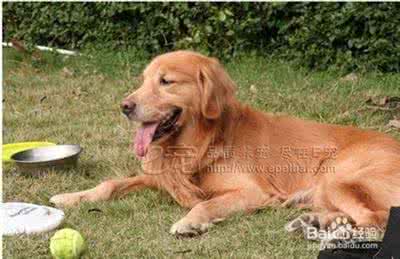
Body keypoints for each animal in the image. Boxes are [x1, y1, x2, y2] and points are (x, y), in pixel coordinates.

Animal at [50, 50, 400, 238]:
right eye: (144, 80)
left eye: (166, 81)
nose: (125, 106)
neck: (204, 142)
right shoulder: (162, 176)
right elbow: (110, 184)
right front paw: (70, 197)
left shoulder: (253, 191)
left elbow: (205, 203)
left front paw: (189, 223)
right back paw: (315, 221)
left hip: (336, 178)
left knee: (374, 219)